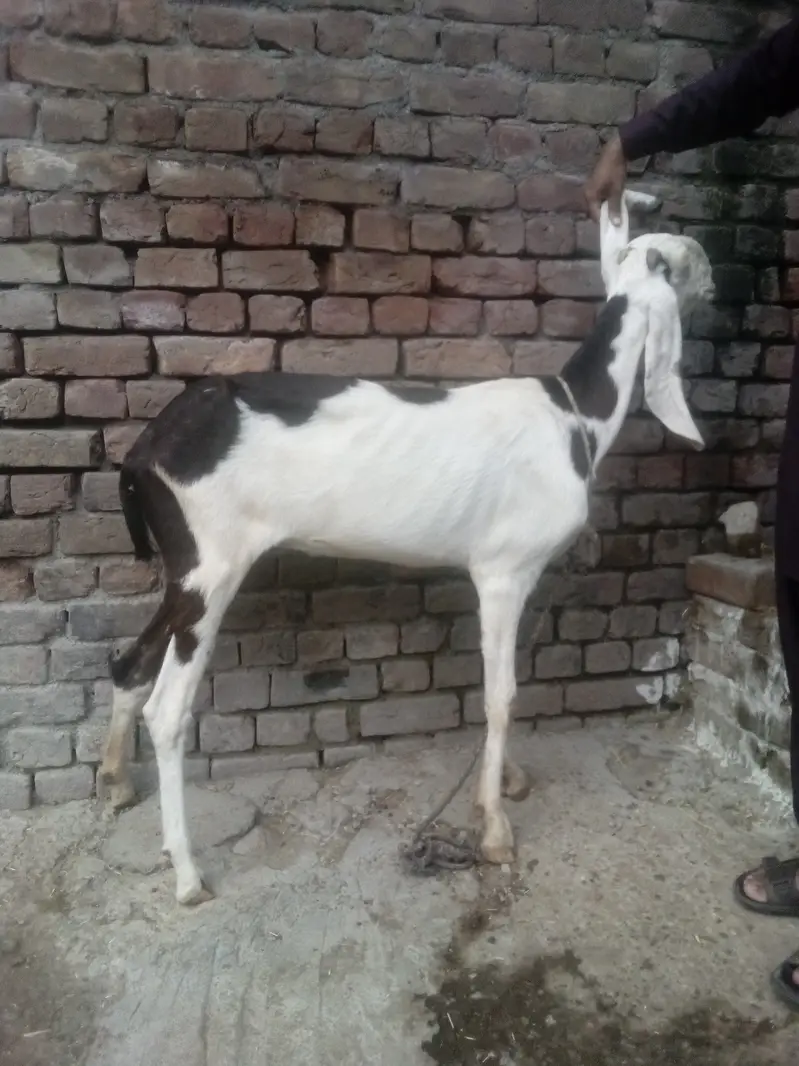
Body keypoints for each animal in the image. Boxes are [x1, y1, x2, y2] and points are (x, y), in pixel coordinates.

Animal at [101, 191, 715, 905]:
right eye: (690, 260)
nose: (717, 286)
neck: (574, 416)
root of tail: (146, 451)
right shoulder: (504, 570)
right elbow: (502, 691)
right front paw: (493, 827)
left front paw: (506, 781)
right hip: (212, 565)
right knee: (167, 709)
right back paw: (187, 871)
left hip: (185, 570)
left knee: (129, 663)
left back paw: (114, 783)